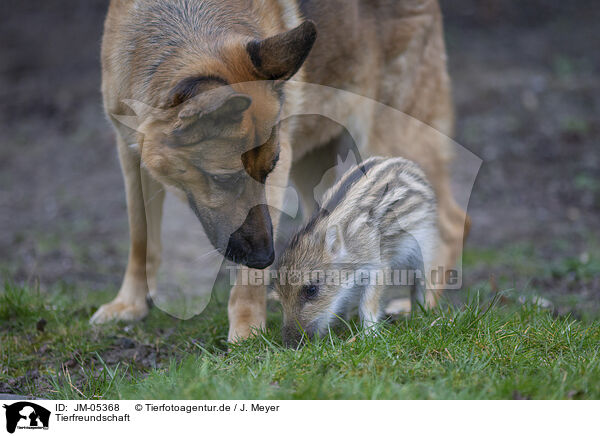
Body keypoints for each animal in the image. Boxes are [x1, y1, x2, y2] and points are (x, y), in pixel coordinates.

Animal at [90, 0, 464, 344]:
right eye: (224, 178)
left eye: (268, 168)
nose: (265, 257)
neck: (184, 20)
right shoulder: (130, 154)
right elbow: (141, 237)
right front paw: (130, 304)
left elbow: (247, 278)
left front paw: (246, 329)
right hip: (315, 165)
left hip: (393, 139)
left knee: (450, 223)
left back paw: (421, 307)